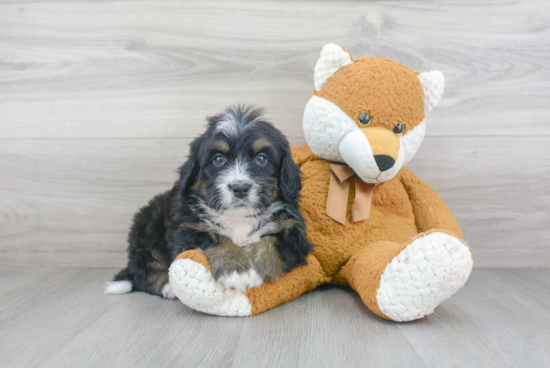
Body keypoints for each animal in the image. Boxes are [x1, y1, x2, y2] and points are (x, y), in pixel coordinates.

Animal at [106, 105, 314, 298]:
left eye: (261, 159)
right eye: (218, 159)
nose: (240, 188)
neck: (238, 218)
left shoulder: (293, 230)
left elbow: (272, 242)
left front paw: (254, 267)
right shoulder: (186, 228)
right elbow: (215, 237)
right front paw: (237, 270)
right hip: (147, 225)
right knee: (142, 272)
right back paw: (167, 286)